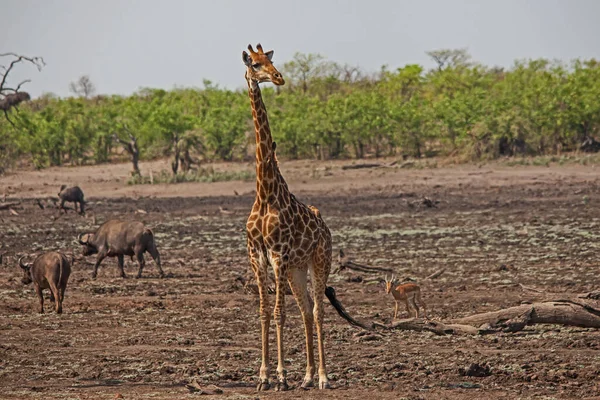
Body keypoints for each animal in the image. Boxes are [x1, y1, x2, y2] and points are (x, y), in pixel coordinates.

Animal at [244, 43, 336, 390]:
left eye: (271, 61)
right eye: (255, 64)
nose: (279, 77)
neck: (265, 192)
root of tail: (325, 227)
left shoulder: (278, 254)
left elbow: (280, 312)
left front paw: (281, 376)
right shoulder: (256, 256)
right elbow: (265, 312)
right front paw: (263, 376)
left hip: (319, 260)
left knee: (319, 310)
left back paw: (322, 377)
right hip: (297, 269)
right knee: (306, 309)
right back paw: (308, 376)